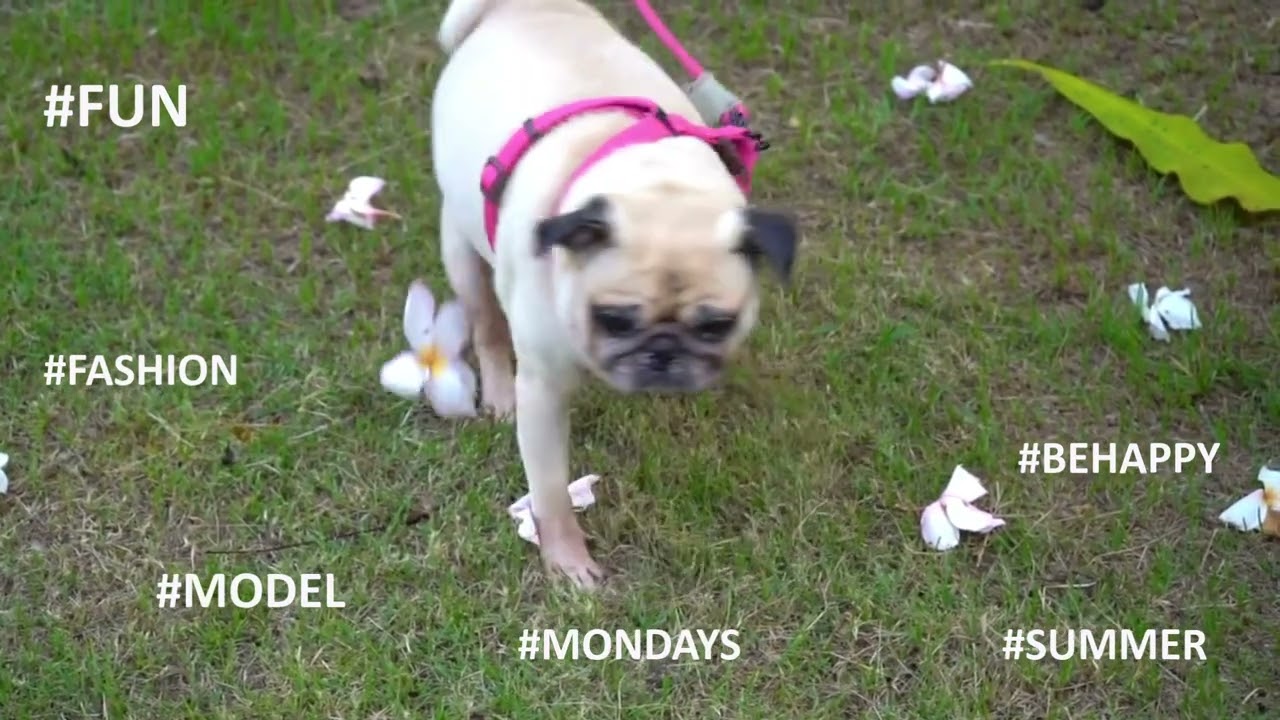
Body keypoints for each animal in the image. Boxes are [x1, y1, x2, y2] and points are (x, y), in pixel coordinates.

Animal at [430, 0, 799, 588]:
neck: (656, 184)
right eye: (615, 319)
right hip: (460, 247)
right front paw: (568, 564)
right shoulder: (544, 388)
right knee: (486, 323)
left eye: (716, 325)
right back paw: (499, 395)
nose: (663, 351)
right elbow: (551, 493)